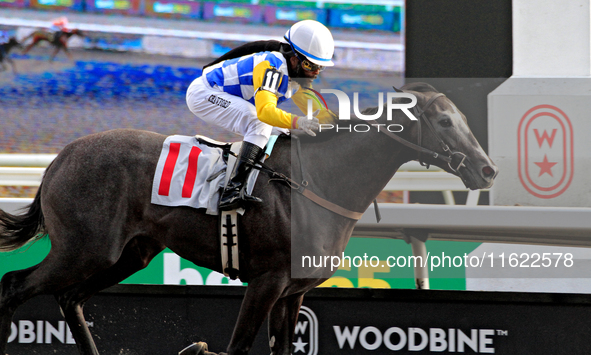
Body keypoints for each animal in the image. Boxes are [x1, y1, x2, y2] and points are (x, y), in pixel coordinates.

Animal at [0, 82, 500, 355]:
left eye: (460, 117)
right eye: (444, 122)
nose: (487, 170)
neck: (320, 182)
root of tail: (60, 158)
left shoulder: (293, 292)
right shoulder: (267, 280)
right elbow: (236, 347)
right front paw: (196, 347)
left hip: (128, 255)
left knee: (70, 299)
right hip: (84, 249)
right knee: (16, 286)